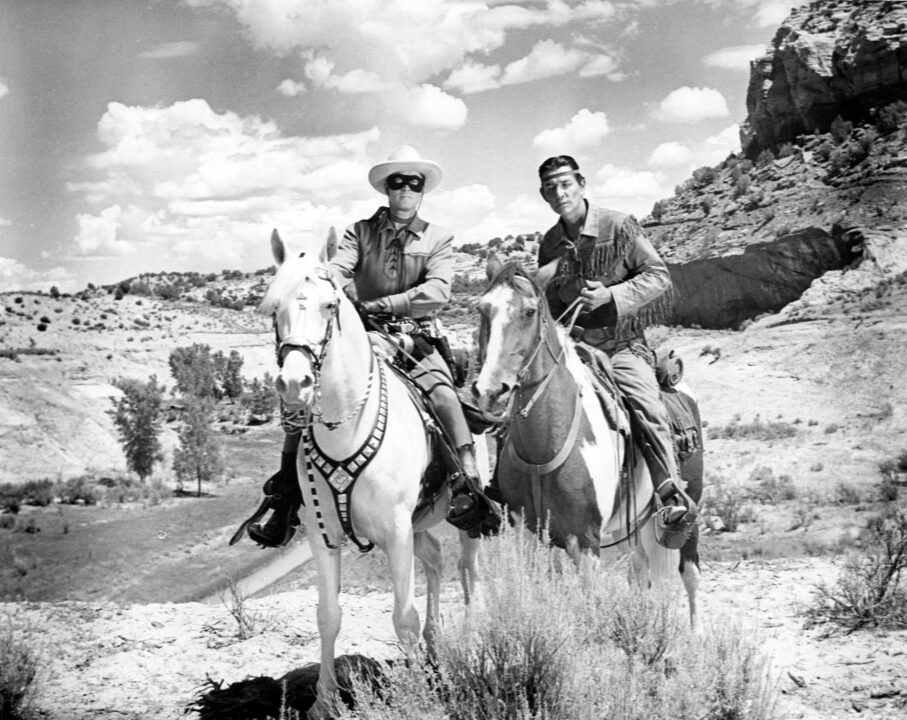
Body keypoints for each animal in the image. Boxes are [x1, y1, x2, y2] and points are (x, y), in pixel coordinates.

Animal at [262, 231, 486, 720]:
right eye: (274, 307)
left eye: (330, 305)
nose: (294, 384)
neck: (346, 428)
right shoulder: (322, 535)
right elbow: (328, 615)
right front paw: (325, 701)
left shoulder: (396, 533)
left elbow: (403, 616)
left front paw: (418, 694)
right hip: (419, 525)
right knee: (435, 559)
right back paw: (435, 646)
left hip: (463, 522)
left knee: (467, 571)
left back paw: (469, 638)